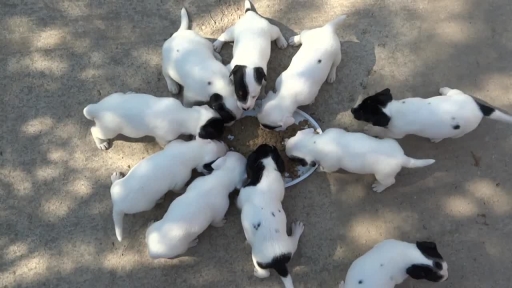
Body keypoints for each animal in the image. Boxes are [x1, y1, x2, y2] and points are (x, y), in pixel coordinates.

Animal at [83, 91, 225, 151]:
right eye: (219, 131)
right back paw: (101, 143)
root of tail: (98, 108)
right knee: (94, 130)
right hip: (108, 130)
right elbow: (165, 144)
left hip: (115, 96)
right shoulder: (163, 138)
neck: (188, 115)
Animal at [237, 144, 304, 288]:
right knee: (294, 243)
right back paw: (297, 230)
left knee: (265, 273)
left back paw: (257, 273)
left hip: (257, 259)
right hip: (290, 247)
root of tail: (279, 261)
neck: (267, 169)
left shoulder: (242, 196)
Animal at [286, 127, 434, 191]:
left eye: (294, 158)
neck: (316, 143)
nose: (285, 149)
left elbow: (325, 168)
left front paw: (319, 169)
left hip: (383, 175)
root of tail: (401, 157)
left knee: (390, 182)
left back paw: (379, 187)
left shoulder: (330, 165)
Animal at [350, 87, 512, 142]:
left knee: (454, 135)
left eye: (363, 113)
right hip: (458, 94)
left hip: (461, 131)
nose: (352, 110)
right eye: (362, 103)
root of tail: (479, 108)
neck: (392, 110)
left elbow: (382, 131)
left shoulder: (396, 133)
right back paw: (444, 90)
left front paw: (371, 129)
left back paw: (437, 138)